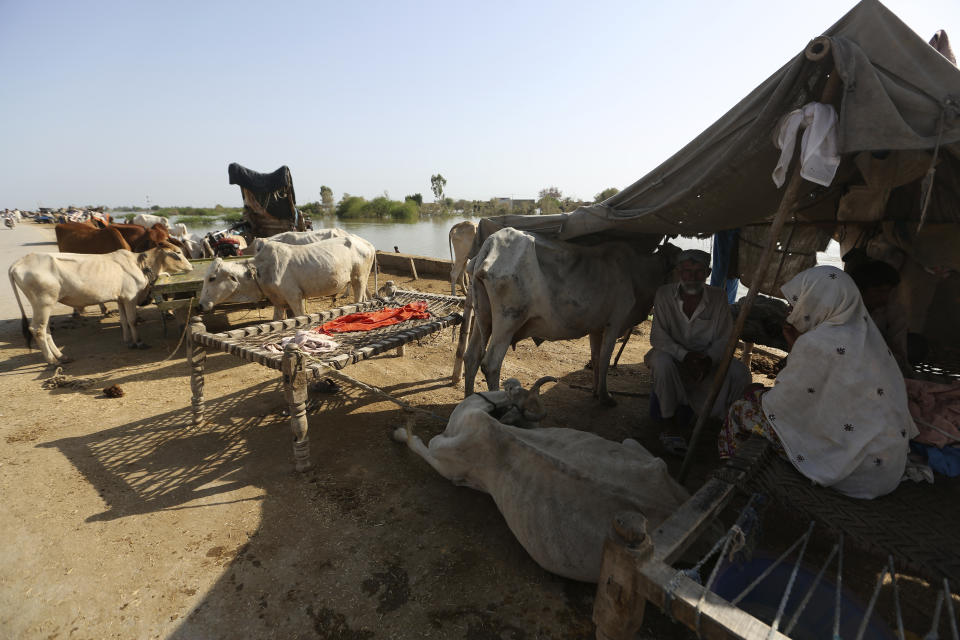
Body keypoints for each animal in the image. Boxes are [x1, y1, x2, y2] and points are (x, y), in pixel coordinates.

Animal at [392, 378, 688, 584]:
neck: (480, 420)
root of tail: (675, 508)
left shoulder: (446, 463)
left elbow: (416, 443)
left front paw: (400, 432)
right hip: (637, 449)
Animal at [456, 226, 676, 404]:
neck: (638, 272)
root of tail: (488, 246)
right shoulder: (614, 323)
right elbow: (605, 360)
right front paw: (605, 397)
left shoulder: (596, 327)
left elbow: (596, 359)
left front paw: (596, 393)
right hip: (509, 319)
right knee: (491, 364)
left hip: (483, 317)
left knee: (472, 356)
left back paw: (468, 400)